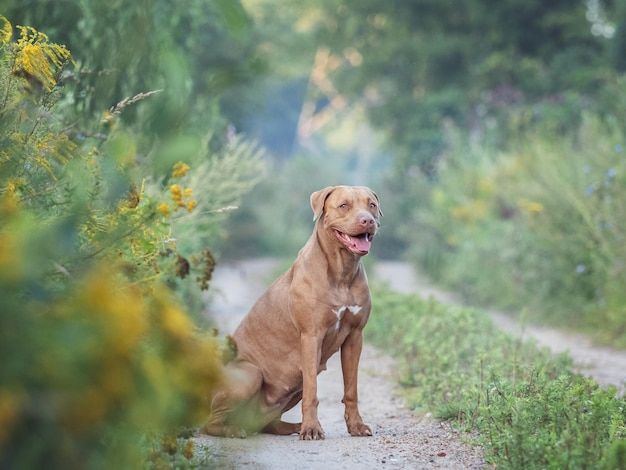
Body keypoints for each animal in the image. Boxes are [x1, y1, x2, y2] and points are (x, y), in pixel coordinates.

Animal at [201, 185, 380, 438]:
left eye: (371, 205)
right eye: (344, 205)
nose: (367, 220)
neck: (342, 270)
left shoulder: (355, 336)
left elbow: (351, 389)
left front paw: (356, 425)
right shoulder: (311, 336)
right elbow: (313, 393)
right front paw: (312, 429)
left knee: (268, 423)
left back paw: (292, 426)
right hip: (250, 373)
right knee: (209, 423)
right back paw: (233, 430)